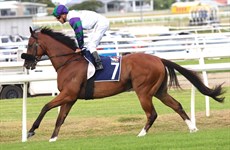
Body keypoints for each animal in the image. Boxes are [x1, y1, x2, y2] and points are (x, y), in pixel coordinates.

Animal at [22, 27, 225, 142]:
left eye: (30, 44)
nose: (27, 63)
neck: (69, 61)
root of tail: (158, 58)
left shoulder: (68, 94)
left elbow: (45, 107)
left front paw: (31, 131)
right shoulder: (70, 97)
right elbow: (60, 118)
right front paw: (53, 139)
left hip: (143, 91)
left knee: (152, 113)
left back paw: (141, 134)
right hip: (159, 91)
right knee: (176, 105)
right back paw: (192, 127)